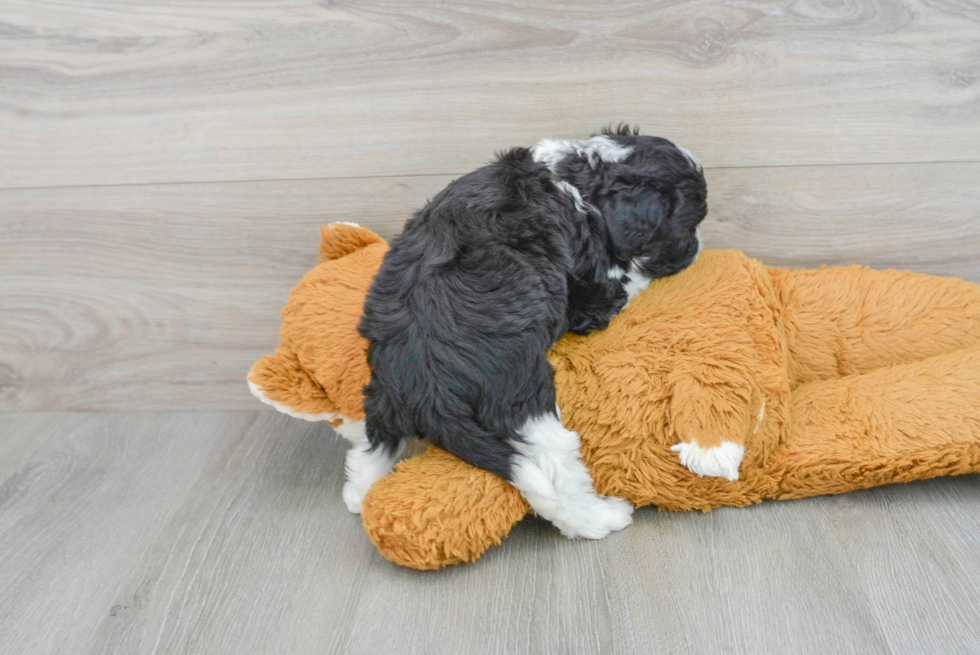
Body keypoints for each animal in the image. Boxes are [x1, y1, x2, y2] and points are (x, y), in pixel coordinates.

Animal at [348, 124, 708, 540]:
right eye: (688, 226)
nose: (698, 247)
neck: (578, 182)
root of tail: (427, 394)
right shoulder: (593, 296)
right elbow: (624, 283)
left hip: (379, 398)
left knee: (370, 449)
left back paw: (359, 493)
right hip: (522, 401)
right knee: (553, 475)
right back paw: (601, 518)